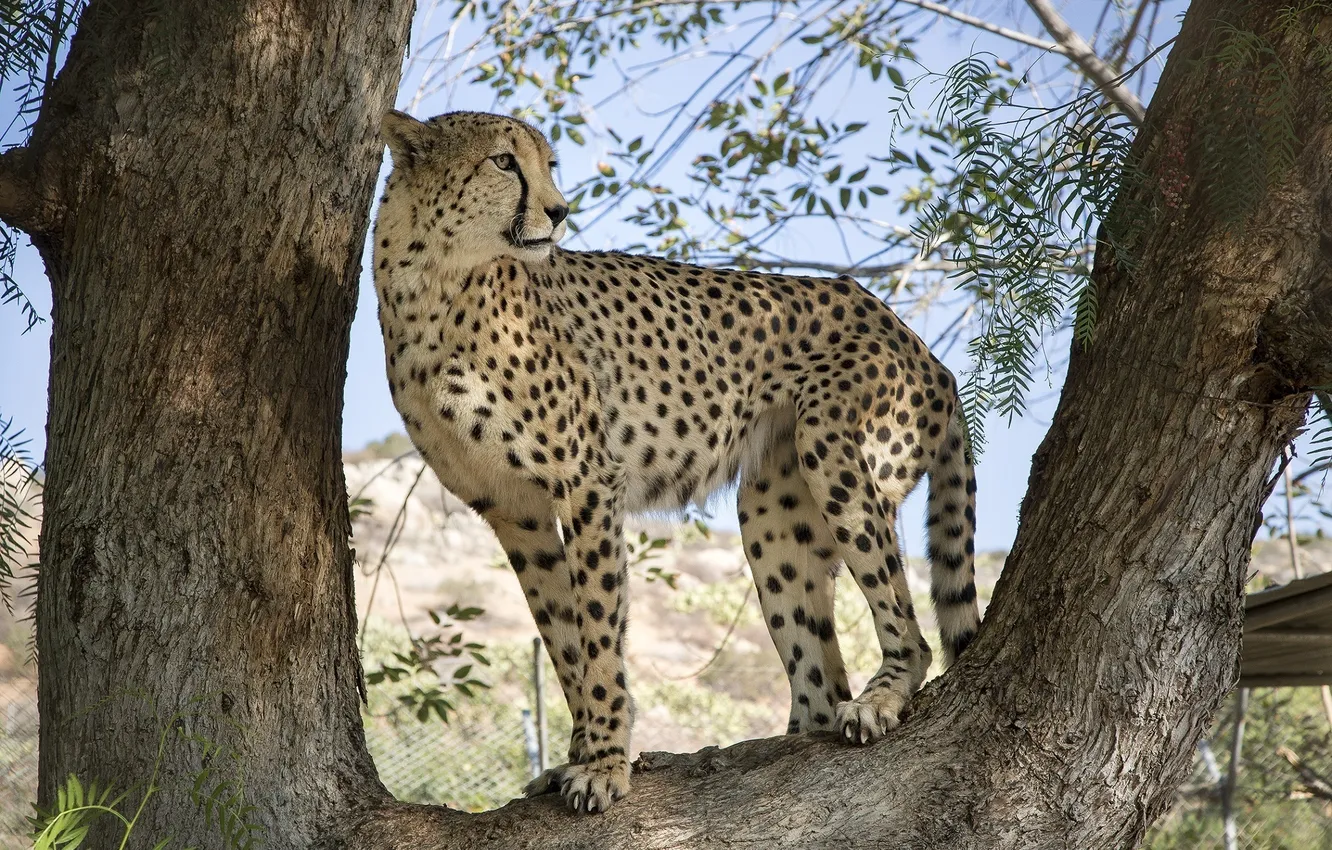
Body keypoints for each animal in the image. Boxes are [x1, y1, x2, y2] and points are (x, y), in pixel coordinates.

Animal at [372, 109, 981, 814]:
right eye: (503, 161)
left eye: (548, 164)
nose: (559, 211)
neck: (433, 280)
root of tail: (915, 340)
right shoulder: (514, 512)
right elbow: (564, 638)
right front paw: (577, 756)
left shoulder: (587, 483)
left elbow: (600, 635)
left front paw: (605, 765)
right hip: (773, 513)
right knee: (819, 676)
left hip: (836, 449)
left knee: (909, 631)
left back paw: (880, 702)